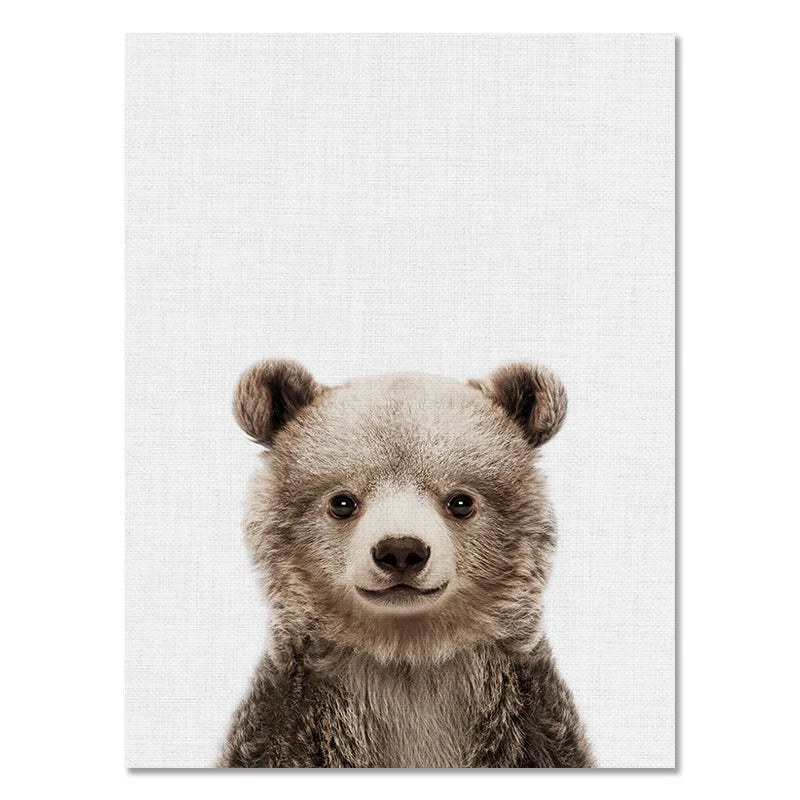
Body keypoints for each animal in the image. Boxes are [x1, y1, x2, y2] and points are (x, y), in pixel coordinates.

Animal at [219, 359, 594, 768]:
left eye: (461, 501)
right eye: (342, 502)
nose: (400, 551)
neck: (409, 654)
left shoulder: (531, 723)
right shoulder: (286, 724)